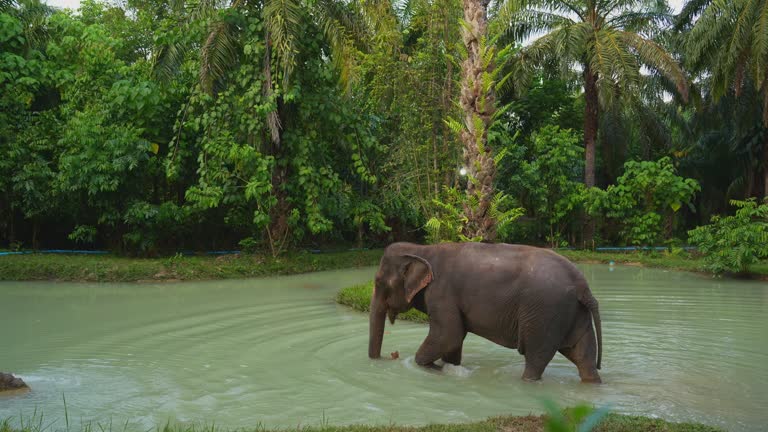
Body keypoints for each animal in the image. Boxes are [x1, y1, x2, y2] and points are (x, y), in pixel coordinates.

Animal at [368, 241, 604, 384]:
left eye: (378, 282)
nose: (390, 356)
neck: (421, 249)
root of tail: (583, 286)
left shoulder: (441, 293)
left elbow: (449, 334)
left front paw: (430, 368)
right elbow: (453, 341)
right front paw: (448, 368)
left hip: (544, 314)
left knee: (536, 358)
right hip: (572, 313)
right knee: (583, 356)